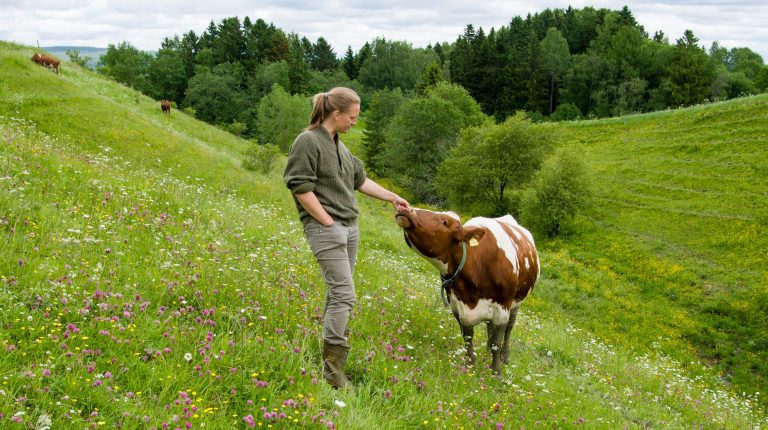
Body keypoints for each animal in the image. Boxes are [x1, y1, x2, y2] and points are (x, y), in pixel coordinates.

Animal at [396, 207, 540, 372]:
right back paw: (487, 350)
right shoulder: (457, 306)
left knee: (509, 328)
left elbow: (497, 341)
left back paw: (505, 357)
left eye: (444, 221)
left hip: (517, 302)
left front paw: (496, 371)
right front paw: (470, 365)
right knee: (489, 327)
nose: (406, 209)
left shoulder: (502, 308)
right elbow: (468, 337)